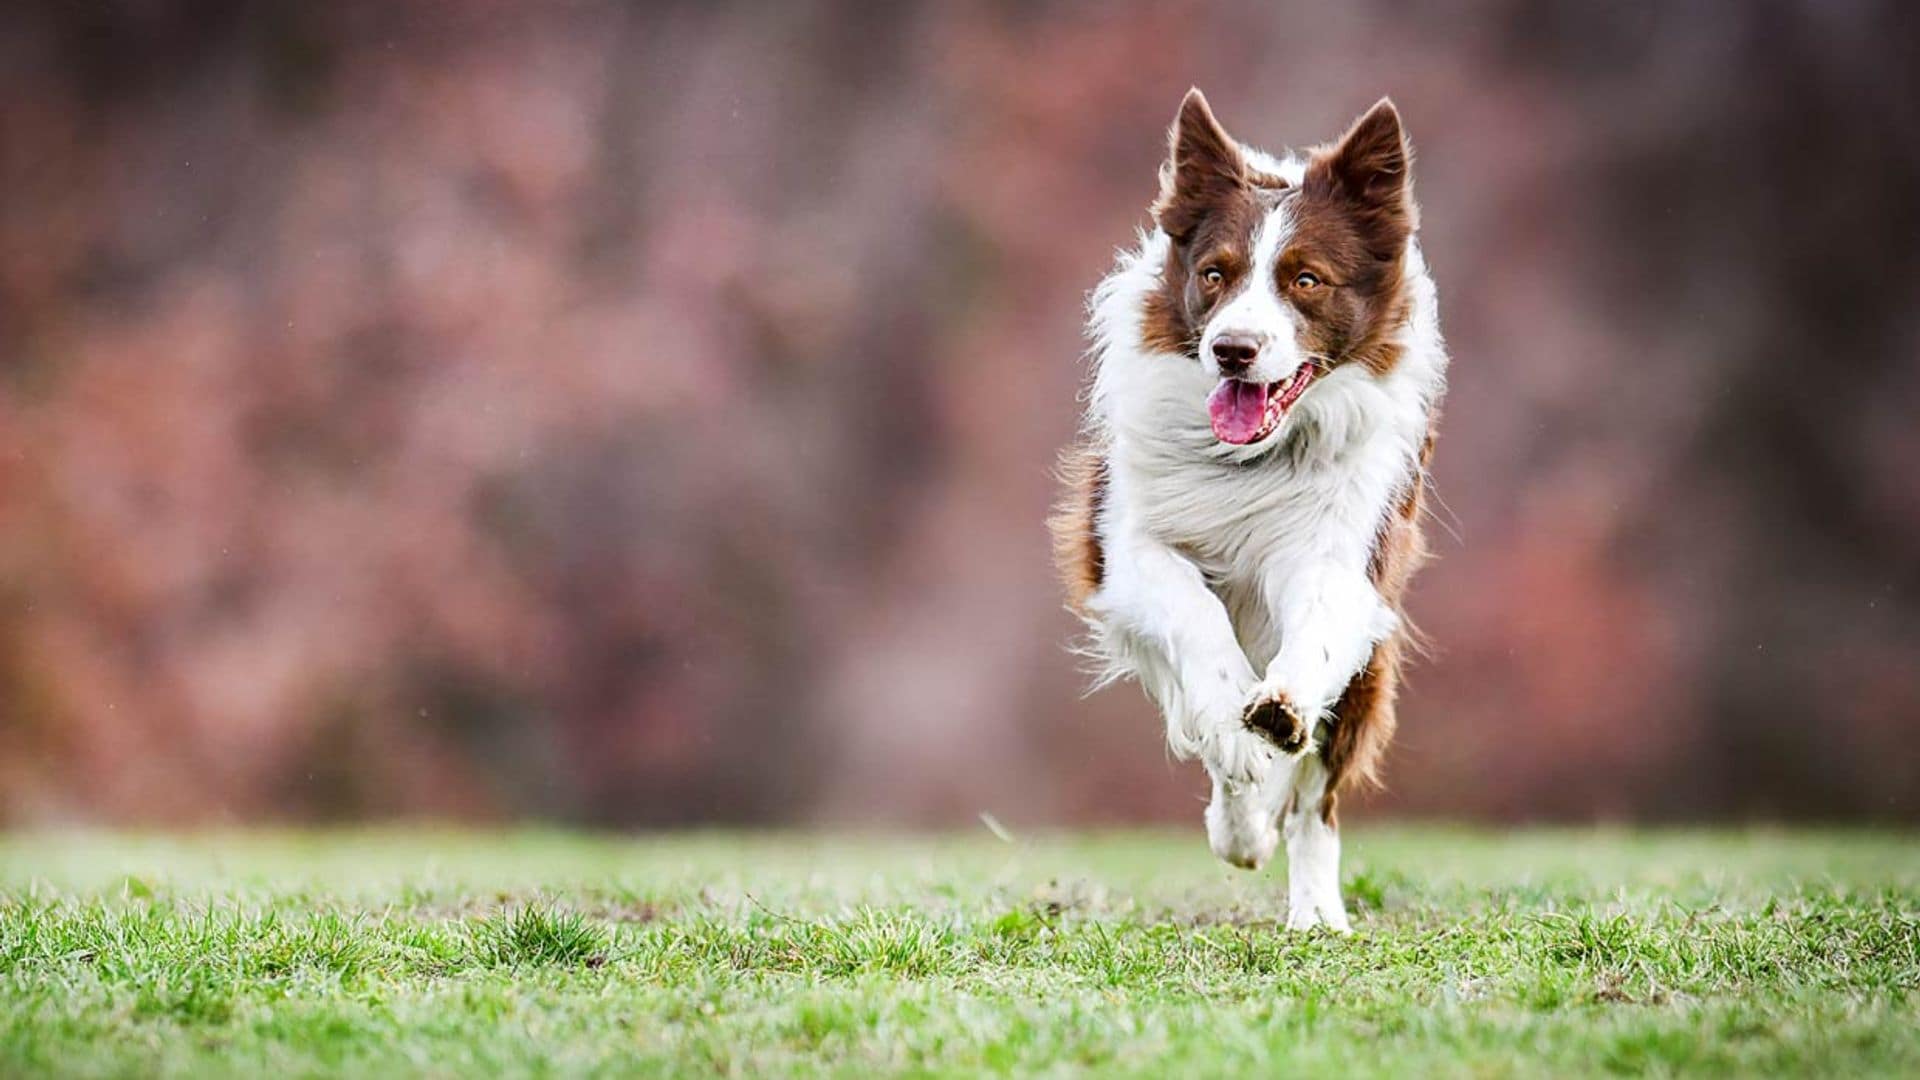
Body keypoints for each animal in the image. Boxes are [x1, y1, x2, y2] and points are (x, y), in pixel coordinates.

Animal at [1052, 90, 1443, 926]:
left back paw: (1315, 911)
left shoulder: (1345, 557)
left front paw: (1279, 706)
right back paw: (1241, 818)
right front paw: (1238, 731)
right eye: (1214, 274)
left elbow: (1315, 637)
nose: (1233, 349)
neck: (1254, 459)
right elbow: (1194, 616)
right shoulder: (1125, 549)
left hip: (1370, 673)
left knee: (1316, 806)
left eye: (1306, 280)